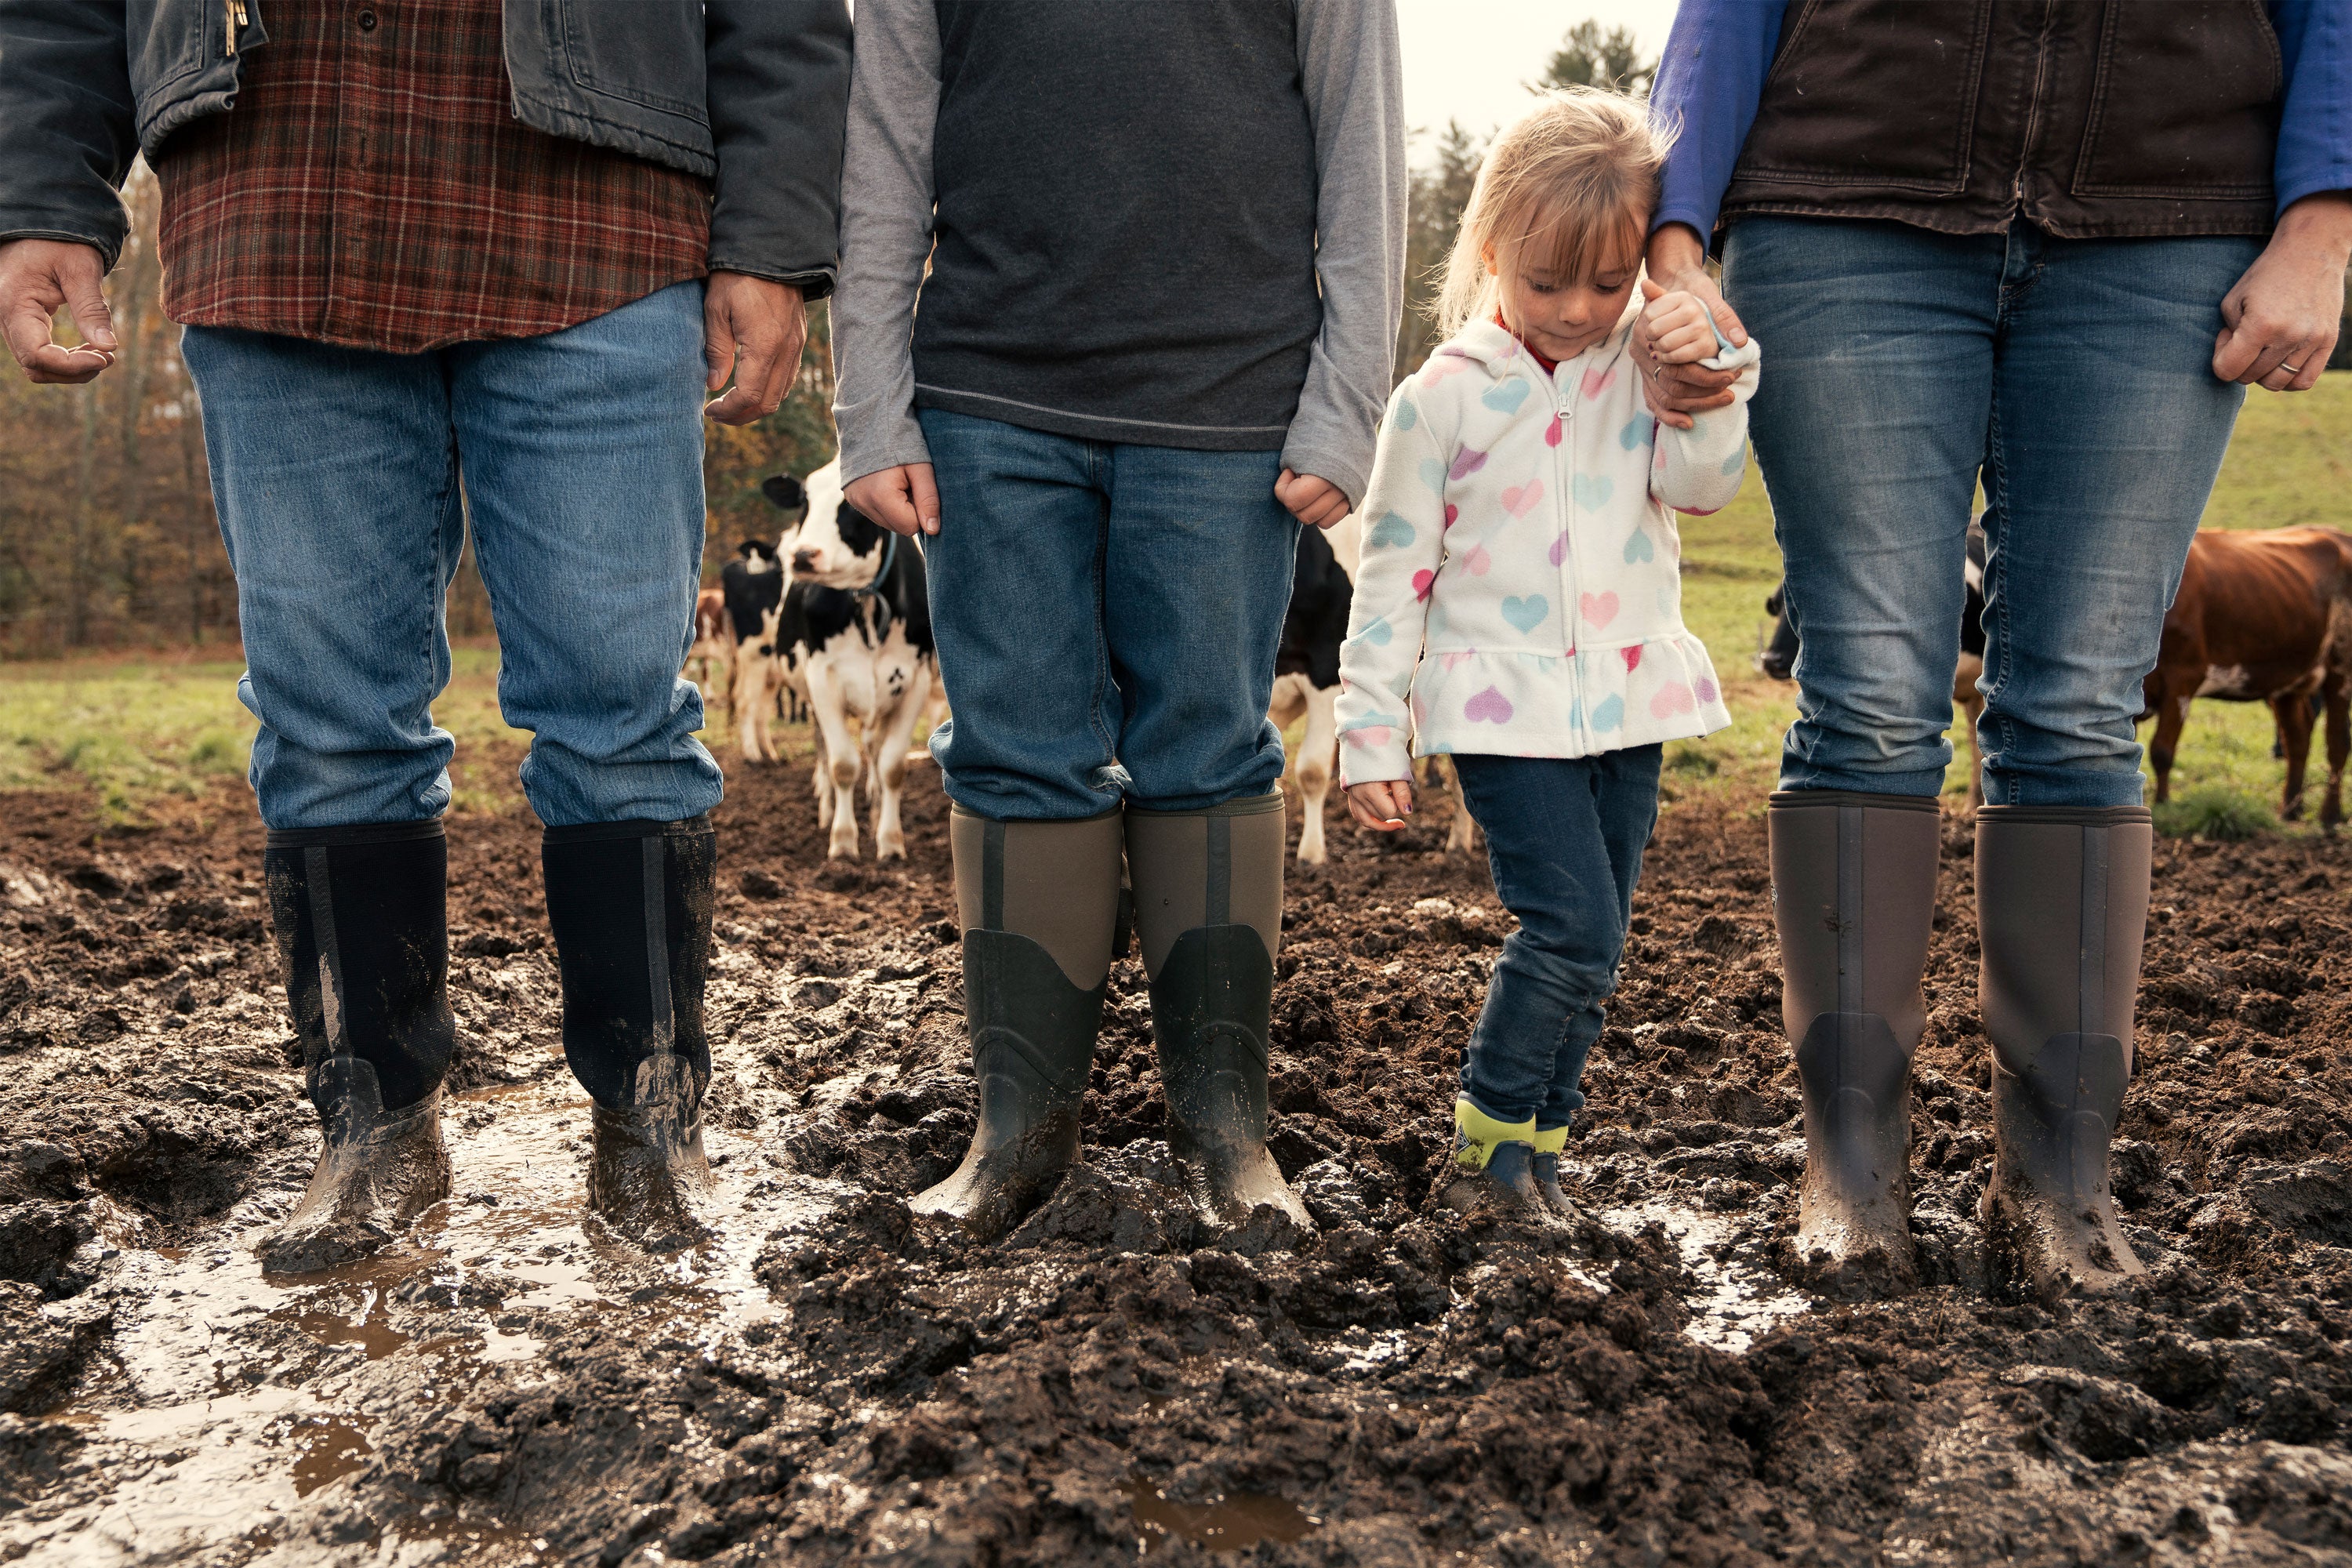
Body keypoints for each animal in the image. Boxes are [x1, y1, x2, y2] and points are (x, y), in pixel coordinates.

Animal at [771, 460, 936, 865]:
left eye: (851, 505)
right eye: (804, 502)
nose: (803, 555)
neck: (865, 601)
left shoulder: (916, 680)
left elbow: (892, 766)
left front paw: (890, 841)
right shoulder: (823, 680)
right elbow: (842, 763)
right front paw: (844, 841)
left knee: (873, 749)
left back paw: (875, 808)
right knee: (823, 749)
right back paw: (827, 810)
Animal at [2154, 526, 2352, 827]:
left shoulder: (2183, 677)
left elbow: (2161, 752)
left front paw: (2162, 807)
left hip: (2340, 668)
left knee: (2337, 743)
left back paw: (2330, 816)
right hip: (2288, 677)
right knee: (2297, 739)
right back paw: (2290, 808)